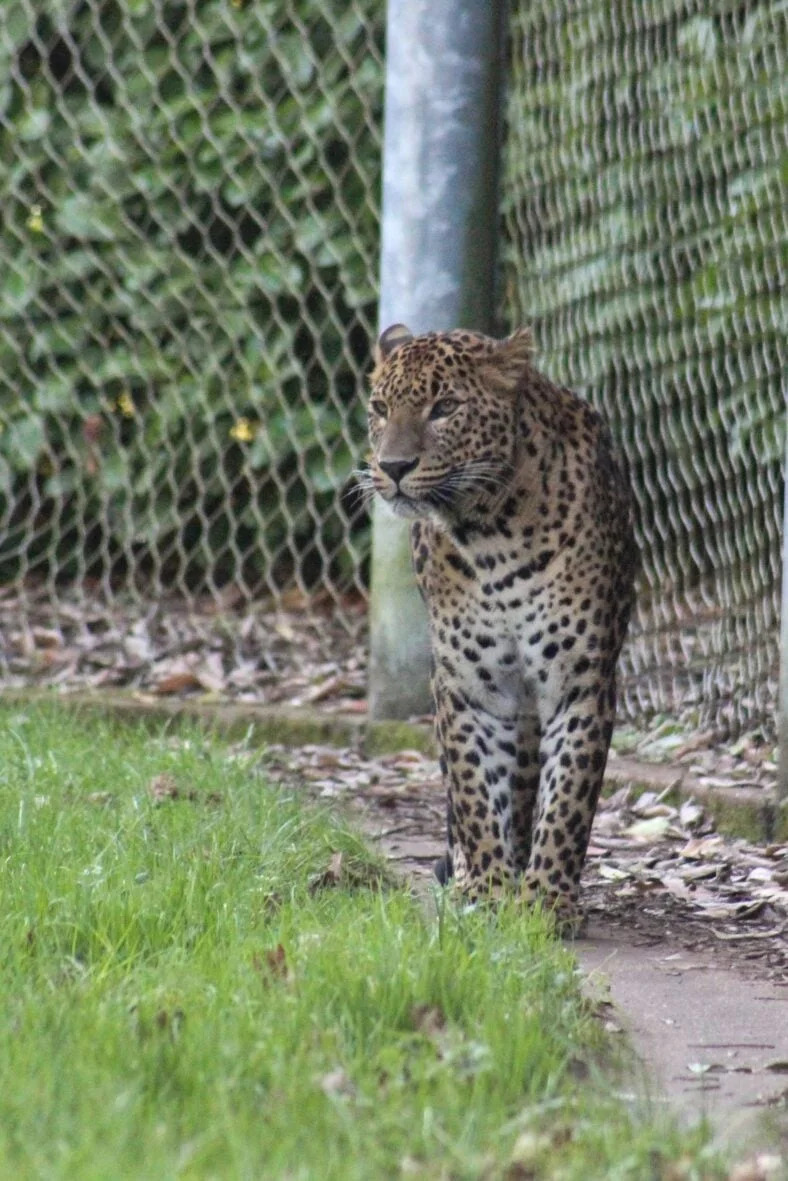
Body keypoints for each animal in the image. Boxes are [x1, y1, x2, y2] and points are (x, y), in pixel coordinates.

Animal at [365, 323, 638, 917]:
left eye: (445, 407)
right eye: (379, 407)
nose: (392, 468)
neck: (493, 533)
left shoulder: (580, 682)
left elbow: (568, 798)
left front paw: (547, 898)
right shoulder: (468, 686)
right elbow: (474, 788)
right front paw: (489, 888)